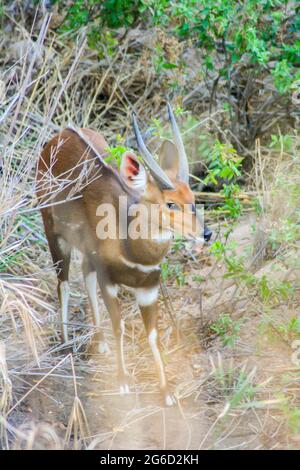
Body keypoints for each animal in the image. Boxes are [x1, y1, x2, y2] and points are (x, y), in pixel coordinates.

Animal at [36, 104, 212, 406]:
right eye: (170, 203)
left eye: (192, 197)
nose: (207, 233)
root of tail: (59, 136)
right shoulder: (110, 280)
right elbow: (119, 325)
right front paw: (122, 382)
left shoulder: (149, 287)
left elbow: (152, 335)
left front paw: (167, 393)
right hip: (52, 230)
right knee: (63, 282)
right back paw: (66, 343)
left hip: (86, 252)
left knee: (84, 276)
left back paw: (100, 343)